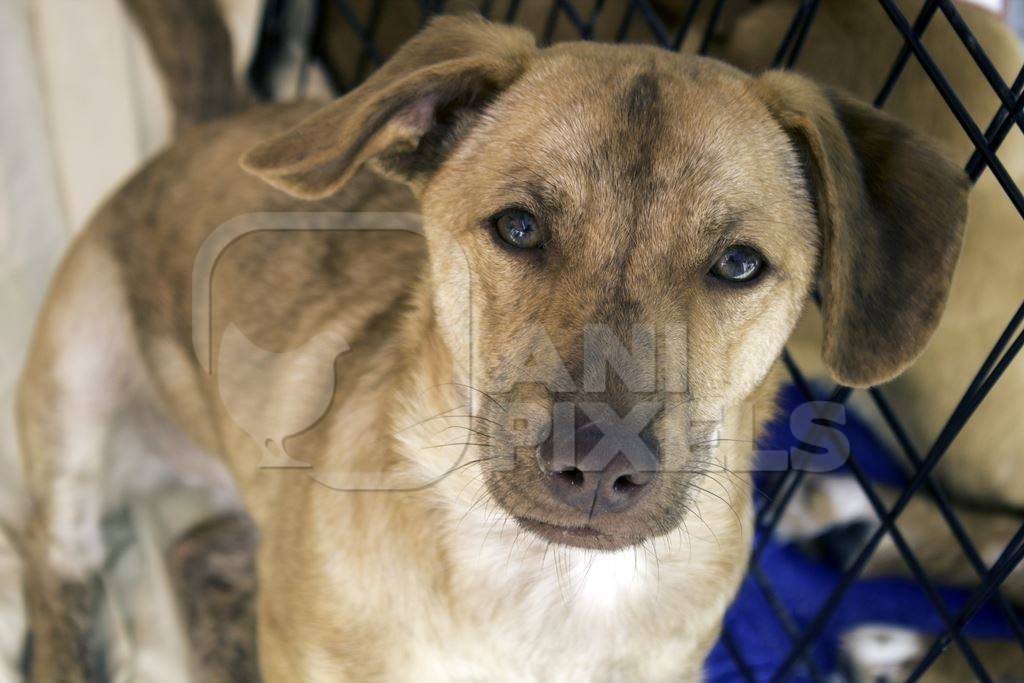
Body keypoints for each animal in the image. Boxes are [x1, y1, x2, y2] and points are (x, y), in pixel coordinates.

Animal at [18, 13, 966, 679]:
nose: (598, 465)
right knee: (57, 572)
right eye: (518, 226)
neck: (545, 593)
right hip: (72, 395)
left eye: (739, 264)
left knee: (195, 553)